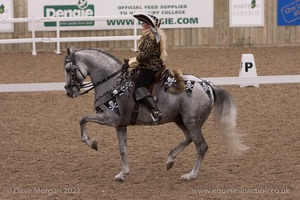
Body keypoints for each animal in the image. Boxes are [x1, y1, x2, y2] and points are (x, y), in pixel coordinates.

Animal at [63, 46, 248, 181]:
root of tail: (207, 85)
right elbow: (122, 149)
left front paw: (92, 143)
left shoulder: (110, 118)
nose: (69, 92)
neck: (113, 83)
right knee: (189, 138)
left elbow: (82, 119)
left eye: (68, 69)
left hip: (192, 122)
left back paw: (191, 175)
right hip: (180, 120)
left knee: (201, 146)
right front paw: (123, 173)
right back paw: (170, 160)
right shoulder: (120, 125)